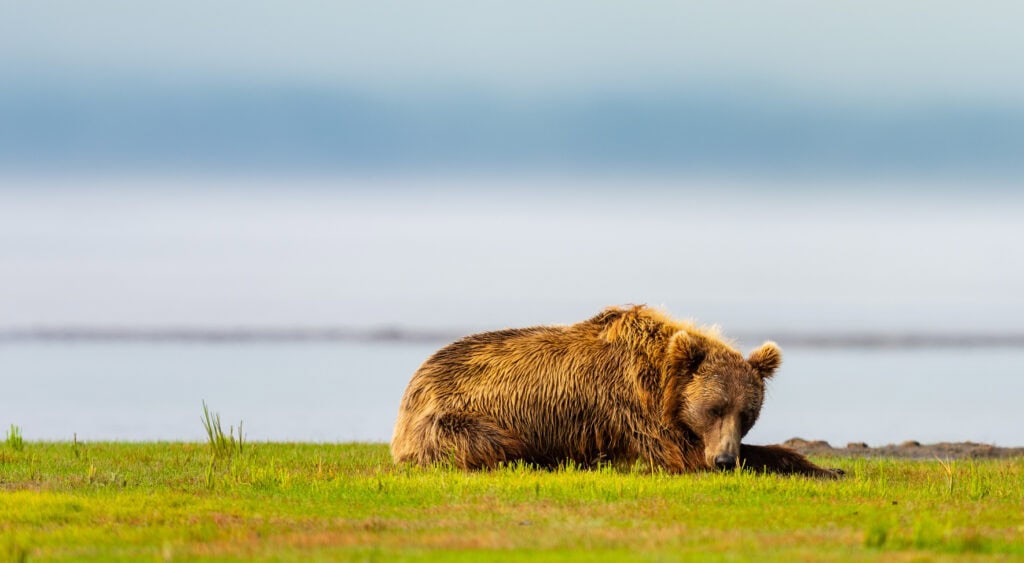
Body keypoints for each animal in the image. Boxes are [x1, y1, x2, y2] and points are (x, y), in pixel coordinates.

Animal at [391, 305, 840, 478]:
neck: (662, 382)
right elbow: (678, 453)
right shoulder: (629, 402)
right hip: (452, 418)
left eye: (746, 414)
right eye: (714, 408)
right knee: (494, 443)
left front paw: (827, 467)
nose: (724, 460)